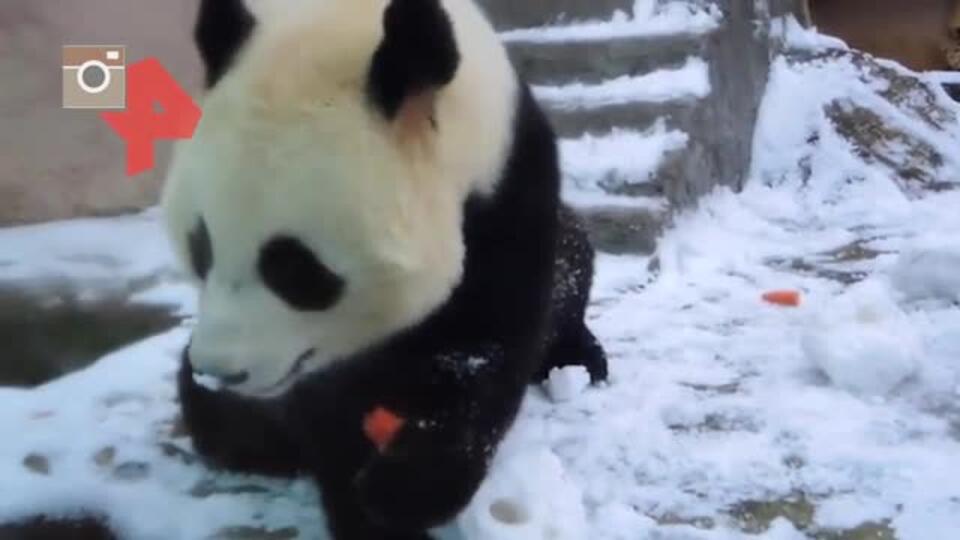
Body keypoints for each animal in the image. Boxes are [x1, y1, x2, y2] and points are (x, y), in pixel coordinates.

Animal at [160, 0, 604, 536]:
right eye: (201, 246)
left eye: (294, 268)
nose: (221, 370)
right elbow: (329, 407)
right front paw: (367, 514)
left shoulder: (509, 192)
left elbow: (486, 346)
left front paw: (405, 487)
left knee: (573, 265)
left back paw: (577, 358)